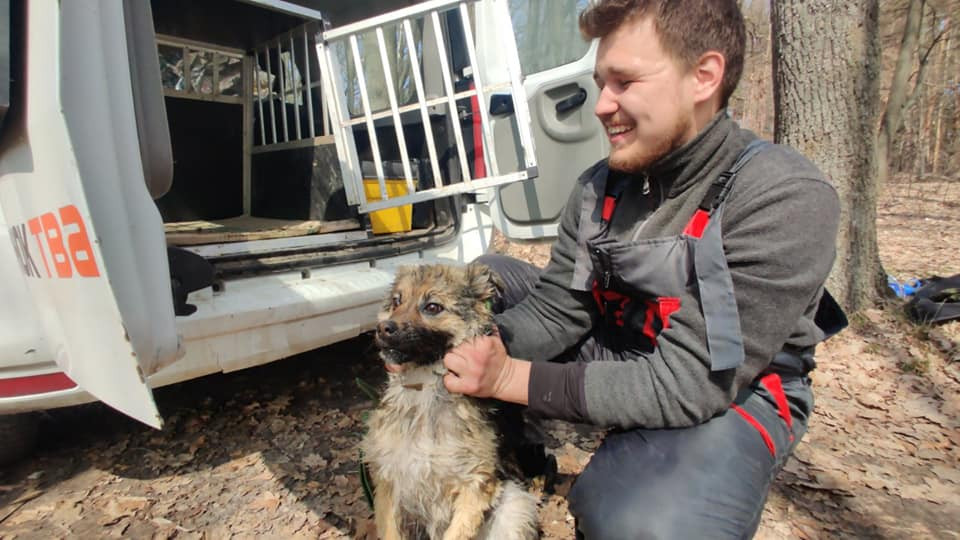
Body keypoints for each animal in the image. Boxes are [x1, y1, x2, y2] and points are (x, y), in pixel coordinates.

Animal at [360, 264, 540, 540]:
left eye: (433, 307)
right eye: (397, 301)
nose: (382, 329)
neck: (425, 389)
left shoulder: (476, 484)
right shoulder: (387, 481)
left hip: (514, 508)